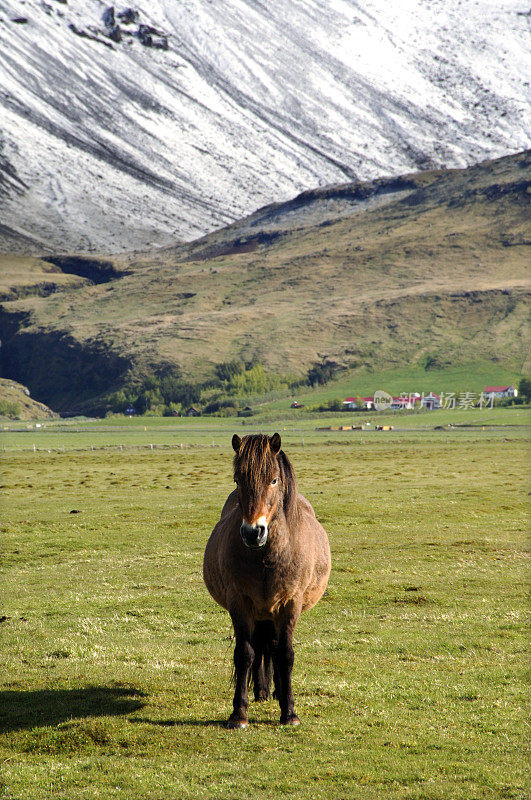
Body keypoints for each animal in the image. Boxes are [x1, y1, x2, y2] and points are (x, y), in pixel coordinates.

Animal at [203, 434, 330, 728]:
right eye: (238, 480)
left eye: (273, 480)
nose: (253, 532)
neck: (266, 556)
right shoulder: (240, 602)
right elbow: (245, 654)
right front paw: (238, 713)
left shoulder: (289, 604)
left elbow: (285, 654)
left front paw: (290, 712)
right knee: (261, 647)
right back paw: (261, 690)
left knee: (271, 646)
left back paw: (276, 692)